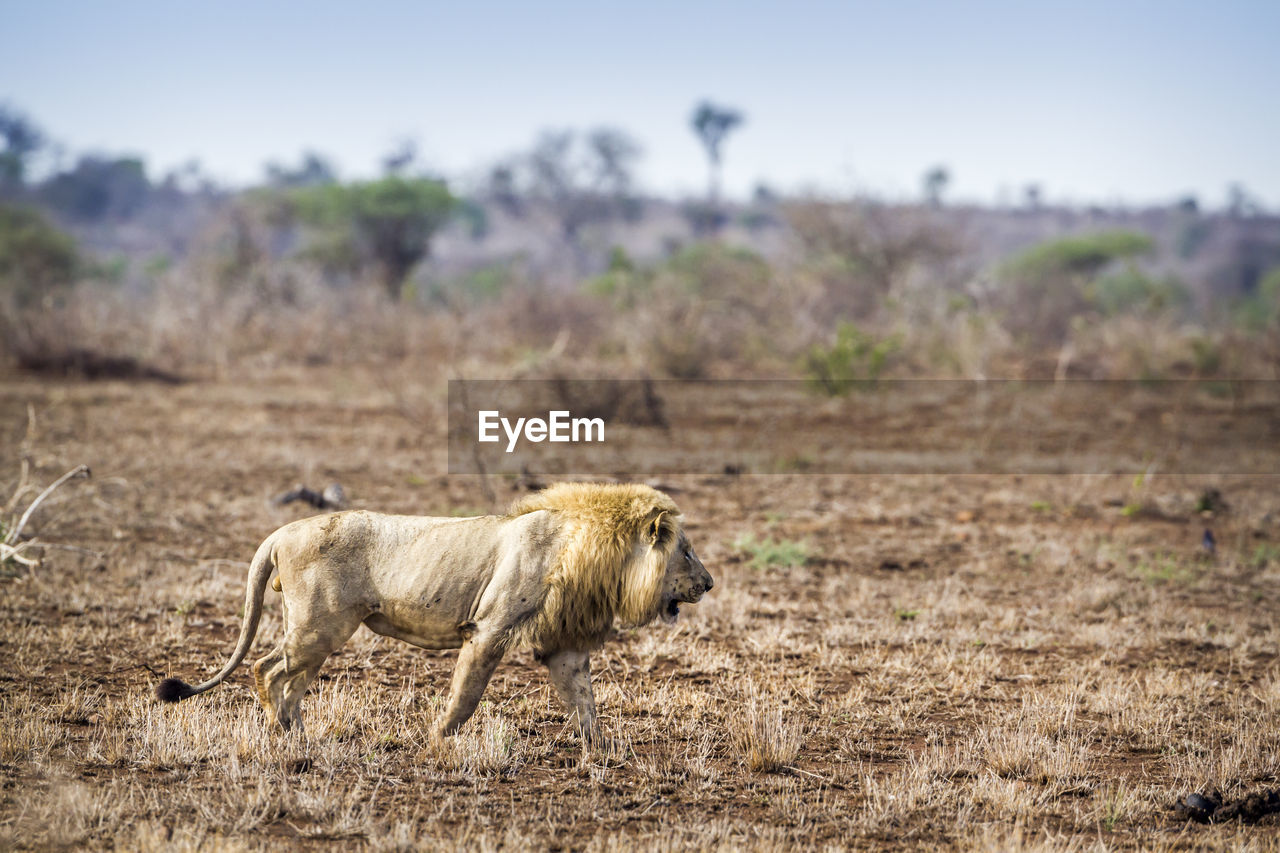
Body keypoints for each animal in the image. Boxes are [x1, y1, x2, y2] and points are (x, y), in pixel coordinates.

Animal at [156, 481, 716, 742]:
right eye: (687, 552)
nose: (709, 584)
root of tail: (280, 532)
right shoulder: (489, 629)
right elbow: (466, 695)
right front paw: (437, 739)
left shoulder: (566, 645)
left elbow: (585, 702)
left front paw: (602, 751)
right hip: (320, 625)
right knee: (265, 667)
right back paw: (280, 733)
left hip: (319, 633)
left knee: (290, 680)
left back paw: (298, 735)